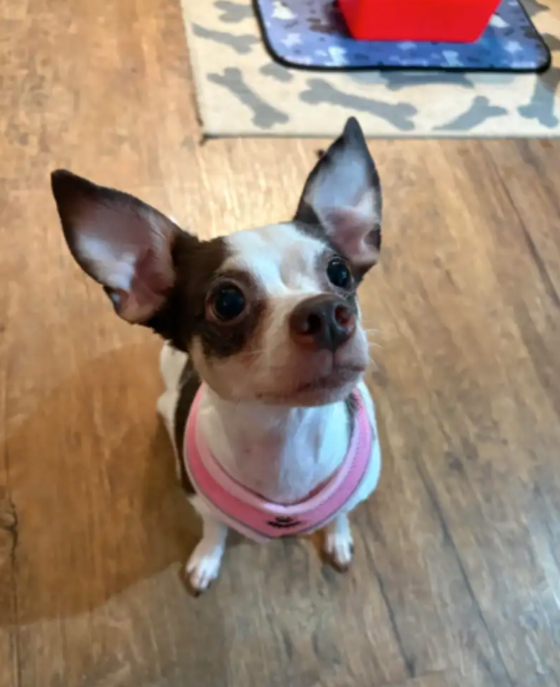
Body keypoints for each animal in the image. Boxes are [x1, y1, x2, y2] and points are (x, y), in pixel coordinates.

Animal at [51, 117, 382, 594]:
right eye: (227, 302)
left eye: (339, 272)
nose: (327, 313)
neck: (287, 433)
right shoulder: (202, 503)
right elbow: (215, 529)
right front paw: (207, 559)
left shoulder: (356, 490)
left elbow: (340, 514)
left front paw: (337, 538)